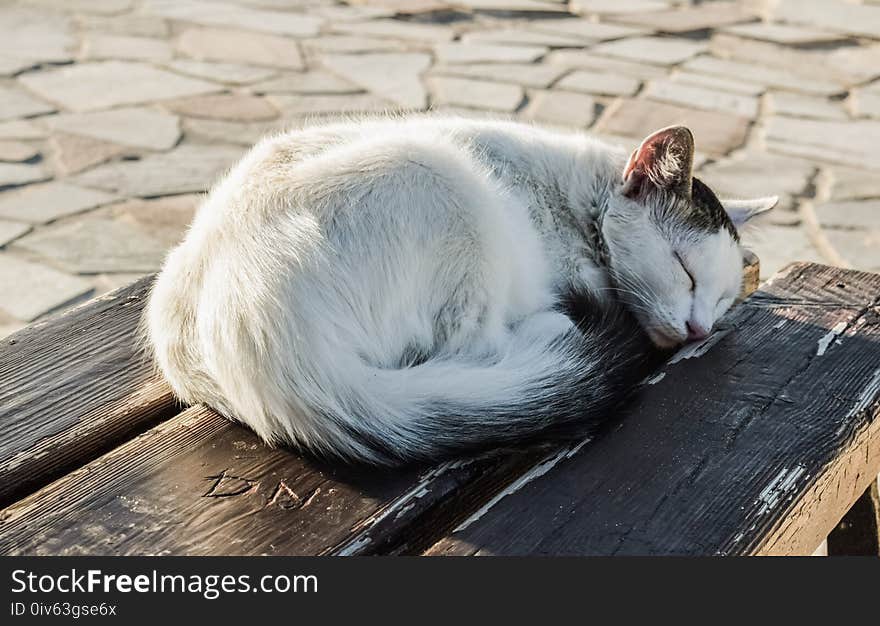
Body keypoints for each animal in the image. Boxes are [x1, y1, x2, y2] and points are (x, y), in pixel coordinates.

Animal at [146, 114, 776, 460]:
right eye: (684, 270)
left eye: (723, 301)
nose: (698, 329)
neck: (578, 206)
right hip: (444, 183)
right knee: (476, 345)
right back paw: (556, 324)